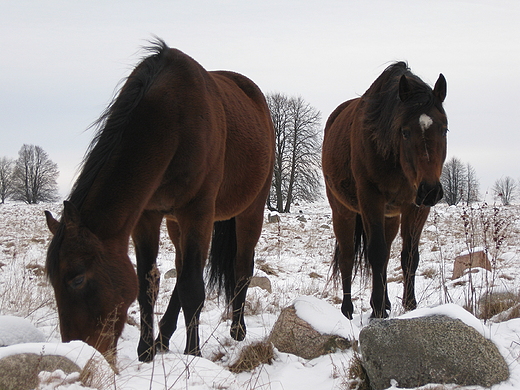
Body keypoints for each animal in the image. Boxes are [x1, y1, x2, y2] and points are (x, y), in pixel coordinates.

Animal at [43, 39, 276, 362]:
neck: (173, 118)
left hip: (249, 211)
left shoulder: (198, 212)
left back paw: (237, 330)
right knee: (181, 268)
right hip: (176, 223)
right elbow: (148, 284)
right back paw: (163, 337)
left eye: (77, 278)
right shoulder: (148, 216)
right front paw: (145, 351)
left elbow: (192, 287)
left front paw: (193, 354)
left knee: (241, 267)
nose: (81, 350)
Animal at [320, 62, 446, 320]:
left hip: (391, 216)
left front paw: (409, 305)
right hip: (343, 212)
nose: (430, 190)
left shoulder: (415, 208)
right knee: (348, 257)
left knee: (387, 255)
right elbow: (375, 252)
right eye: (405, 132)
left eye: (444, 130)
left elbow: (409, 256)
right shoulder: (371, 200)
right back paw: (347, 310)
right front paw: (377, 309)